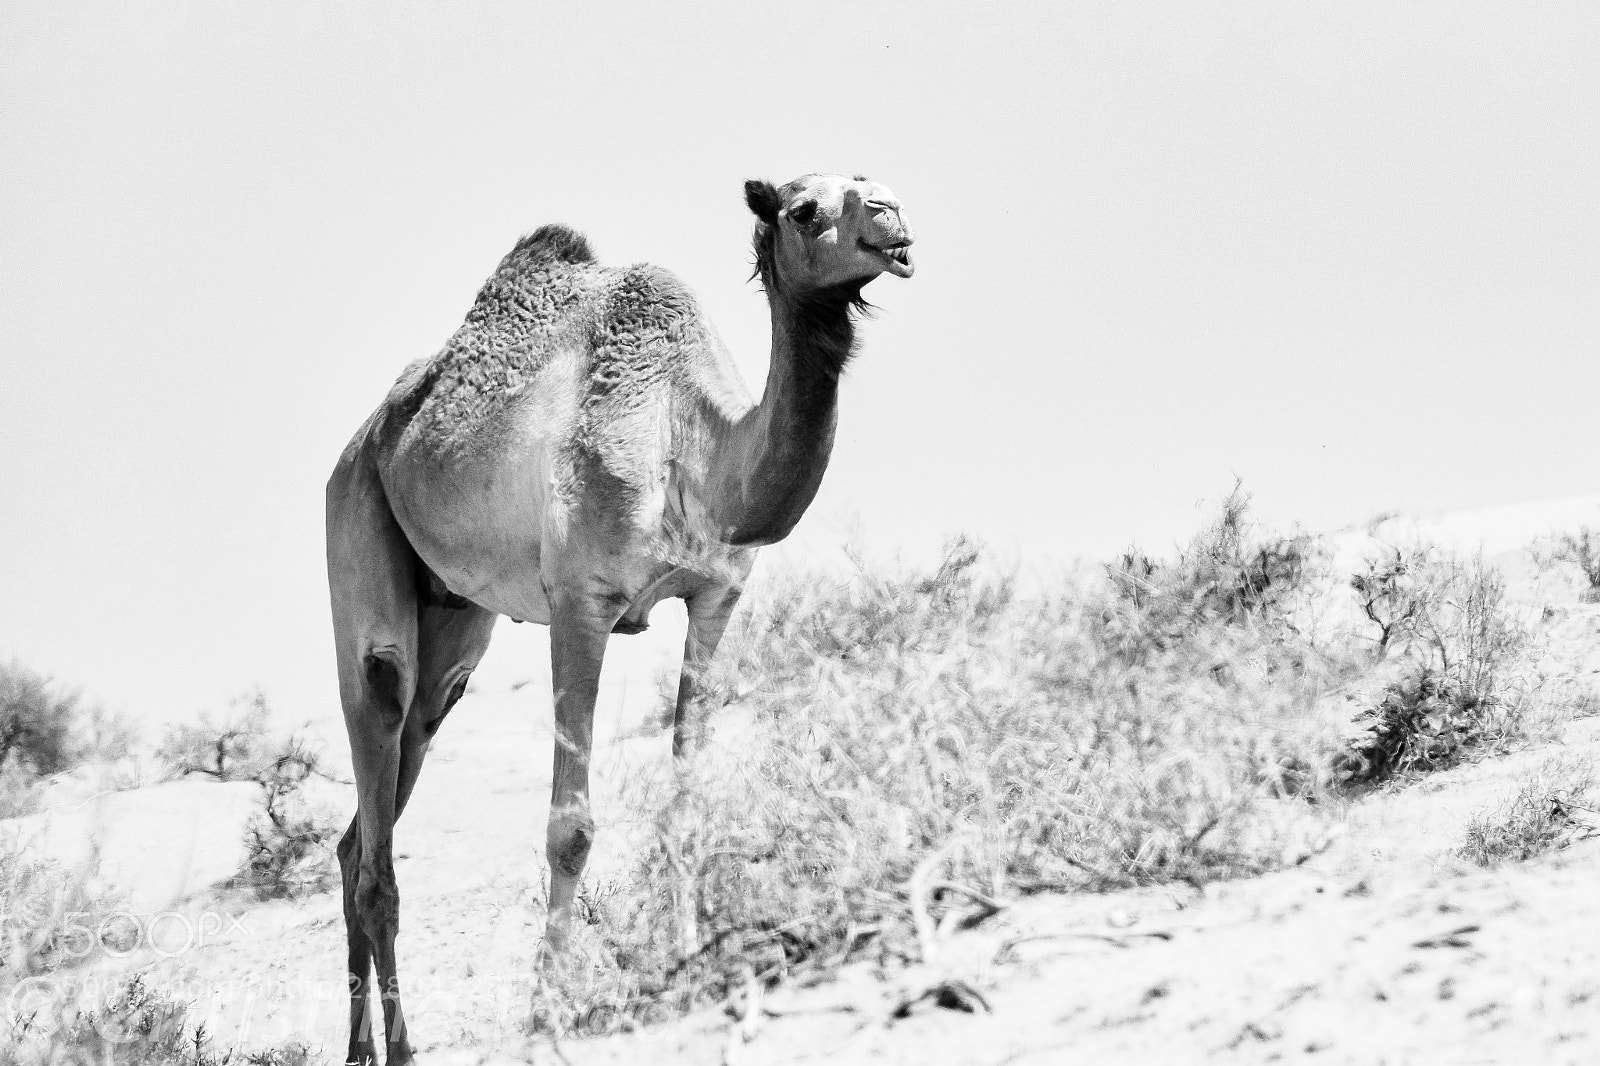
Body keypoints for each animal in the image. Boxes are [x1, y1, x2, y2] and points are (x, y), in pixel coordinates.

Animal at [324, 172, 914, 1064]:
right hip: (358, 531)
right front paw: (545, 1015)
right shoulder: (581, 602)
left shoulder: (716, 598)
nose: (892, 219)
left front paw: (692, 961)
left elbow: (686, 796)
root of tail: (368, 438)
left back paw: (363, 1047)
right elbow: (569, 826)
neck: (692, 448)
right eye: (805, 208)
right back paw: (397, 1050)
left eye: (873, 183)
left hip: (454, 627)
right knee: (378, 763)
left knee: (365, 824)